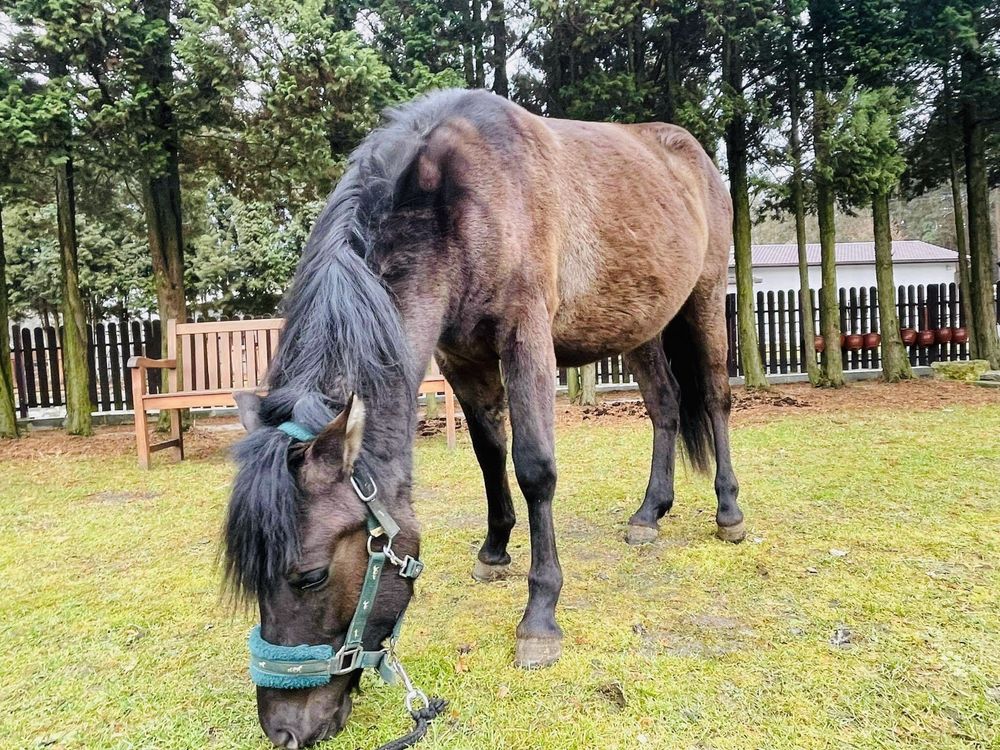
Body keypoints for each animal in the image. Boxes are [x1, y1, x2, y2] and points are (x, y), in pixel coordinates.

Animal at [225, 86, 744, 748]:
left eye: (310, 576)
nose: (284, 729)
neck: (461, 202)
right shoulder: (463, 361)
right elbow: (489, 457)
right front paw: (495, 551)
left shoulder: (526, 337)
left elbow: (534, 469)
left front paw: (540, 619)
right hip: (642, 324)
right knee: (666, 406)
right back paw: (649, 513)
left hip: (704, 298)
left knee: (716, 398)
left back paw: (729, 512)